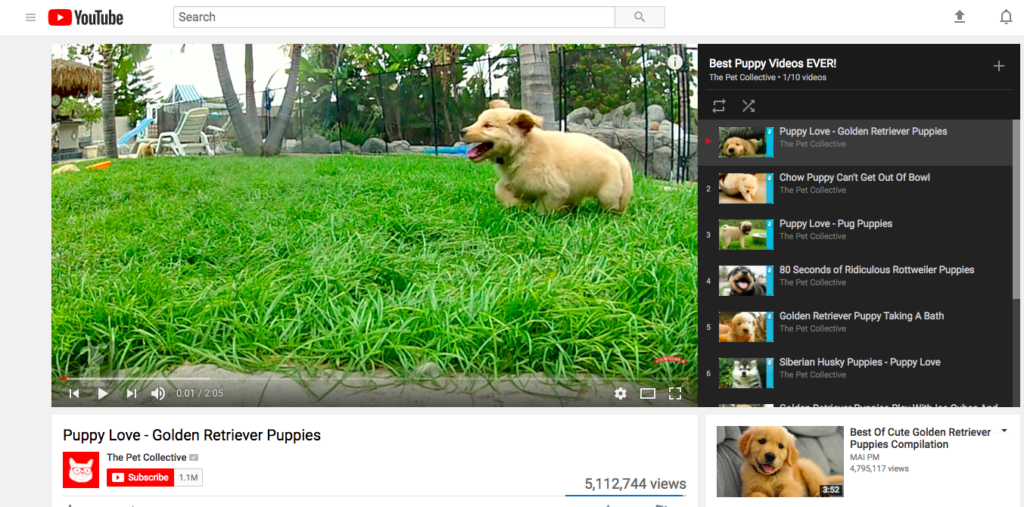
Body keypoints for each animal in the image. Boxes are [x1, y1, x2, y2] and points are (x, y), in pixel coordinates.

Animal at [462, 108, 630, 213]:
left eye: (488, 125)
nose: (462, 131)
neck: (522, 150)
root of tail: (616, 153)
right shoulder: (515, 182)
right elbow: (499, 189)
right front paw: (517, 206)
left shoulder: (556, 189)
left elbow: (544, 209)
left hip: (608, 193)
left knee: (610, 207)